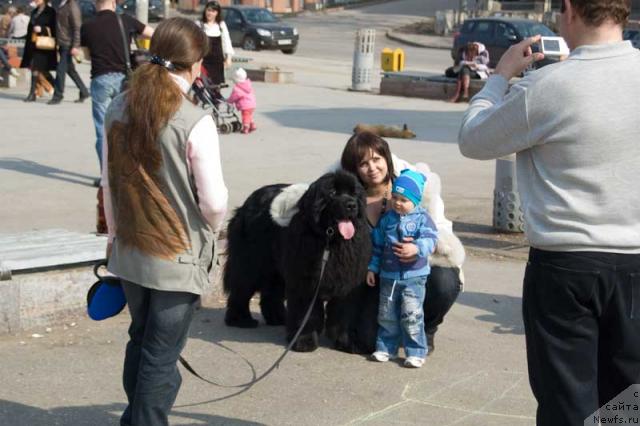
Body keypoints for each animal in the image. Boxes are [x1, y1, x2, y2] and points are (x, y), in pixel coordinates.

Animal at [224, 171, 370, 352]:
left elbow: (344, 314)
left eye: (354, 193)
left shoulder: (346, 283)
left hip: (276, 268)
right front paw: (304, 341)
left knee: (271, 293)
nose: (351, 205)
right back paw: (240, 320)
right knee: (241, 288)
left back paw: (278, 318)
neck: (330, 241)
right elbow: (306, 314)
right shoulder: (304, 282)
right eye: (332, 193)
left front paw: (346, 342)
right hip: (251, 262)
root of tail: (247, 204)